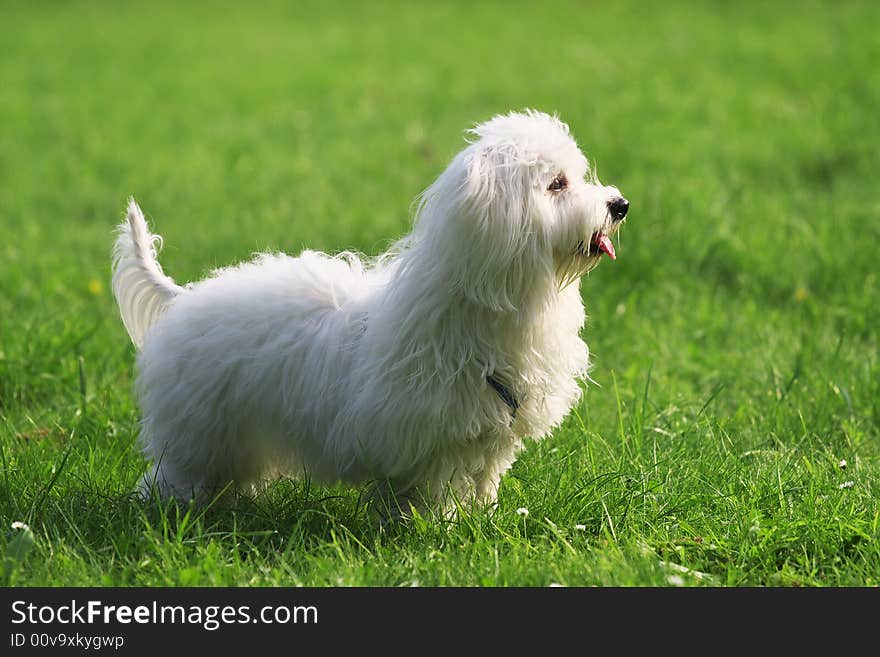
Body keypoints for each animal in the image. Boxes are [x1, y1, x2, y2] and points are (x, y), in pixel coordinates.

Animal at [113, 110, 628, 516]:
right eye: (556, 184)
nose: (619, 205)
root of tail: (183, 298)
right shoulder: (426, 436)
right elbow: (430, 490)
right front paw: (432, 527)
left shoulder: (488, 434)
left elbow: (483, 479)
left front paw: (481, 518)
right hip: (198, 432)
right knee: (173, 475)